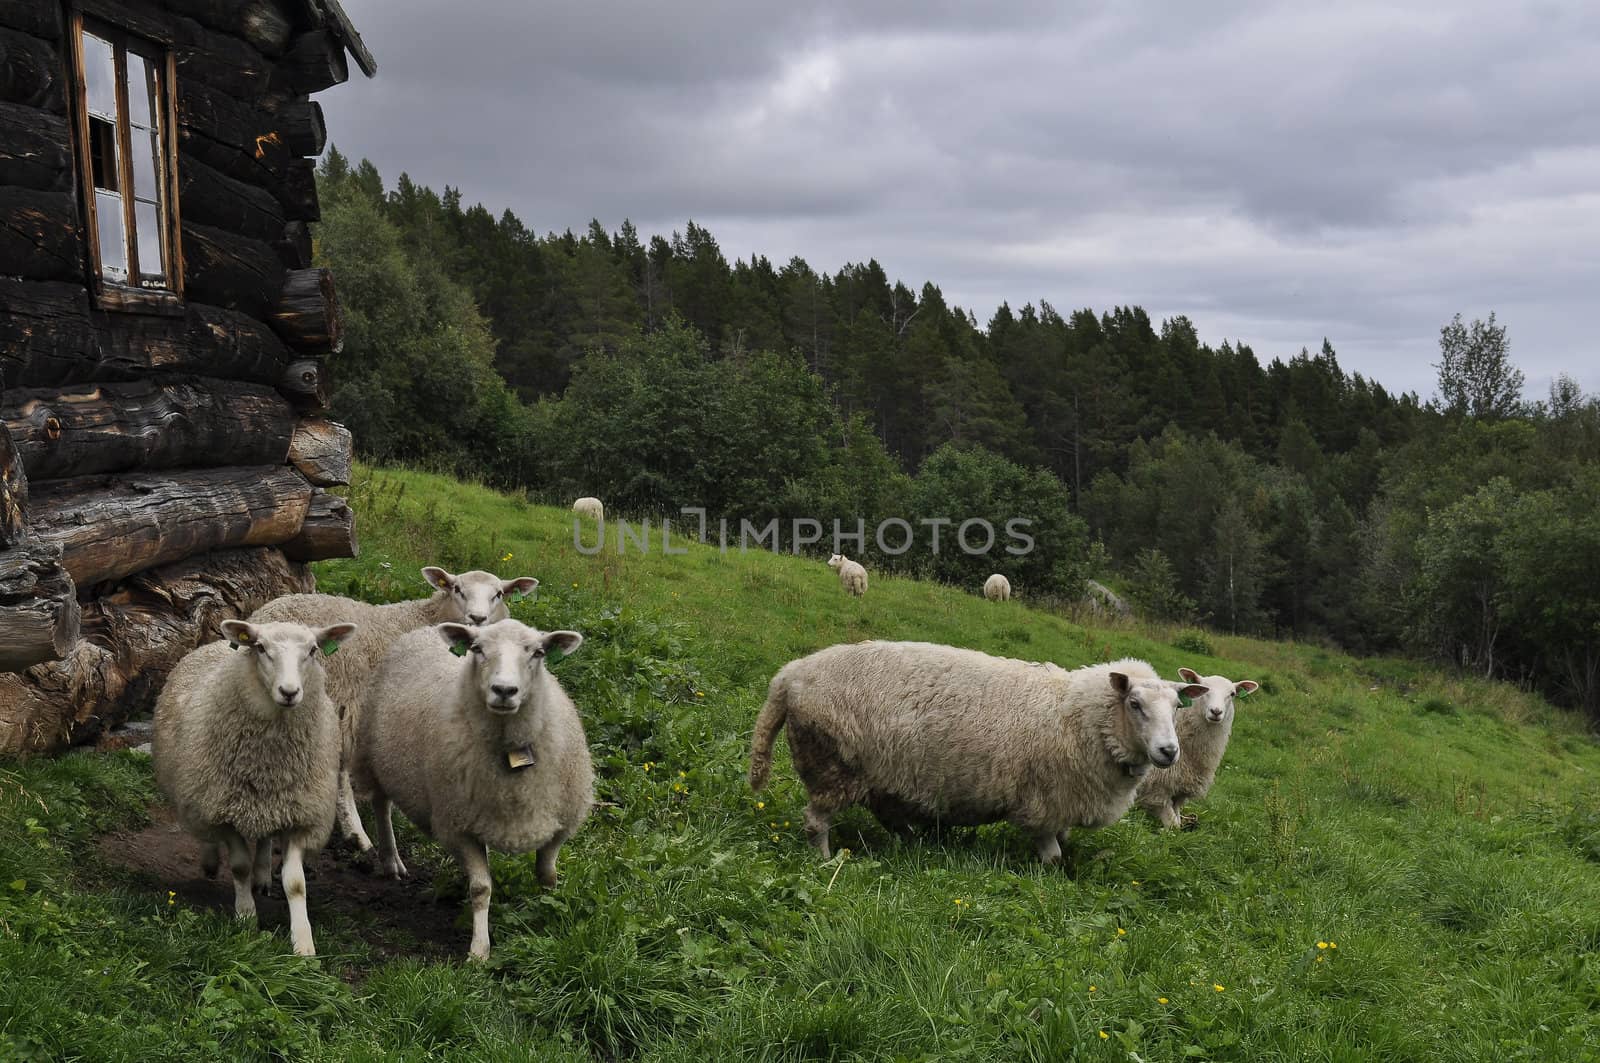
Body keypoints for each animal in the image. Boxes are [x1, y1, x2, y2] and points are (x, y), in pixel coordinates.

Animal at [154, 614, 358, 954]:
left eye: (313, 650)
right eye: (261, 648)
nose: (289, 692)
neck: (269, 761)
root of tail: (219, 642)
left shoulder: (299, 813)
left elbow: (295, 883)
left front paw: (303, 943)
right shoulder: (222, 808)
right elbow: (238, 866)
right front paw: (246, 918)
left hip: (269, 805)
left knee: (265, 837)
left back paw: (262, 875)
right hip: (199, 789)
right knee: (204, 829)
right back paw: (211, 861)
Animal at [356, 617, 595, 960]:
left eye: (537, 652)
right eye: (477, 649)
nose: (504, 690)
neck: (510, 747)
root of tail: (424, 629)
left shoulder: (561, 822)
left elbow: (547, 875)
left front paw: (551, 914)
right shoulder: (458, 826)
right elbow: (481, 888)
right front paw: (479, 950)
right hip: (373, 757)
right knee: (381, 805)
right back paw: (390, 859)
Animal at [745, 640, 1203, 864]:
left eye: (1178, 708)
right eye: (1135, 704)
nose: (1169, 752)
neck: (1080, 715)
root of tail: (788, 677)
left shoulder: (1067, 800)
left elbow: (1063, 838)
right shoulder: (1043, 800)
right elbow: (1051, 853)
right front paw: (1050, 875)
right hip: (830, 763)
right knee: (815, 821)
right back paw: (825, 862)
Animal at [1132, 665, 1254, 832]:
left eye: (1232, 694)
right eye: (1204, 689)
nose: (1216, 711)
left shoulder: (1180, 790)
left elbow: (1177, 819)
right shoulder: (1156, 790)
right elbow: (1174, 825)